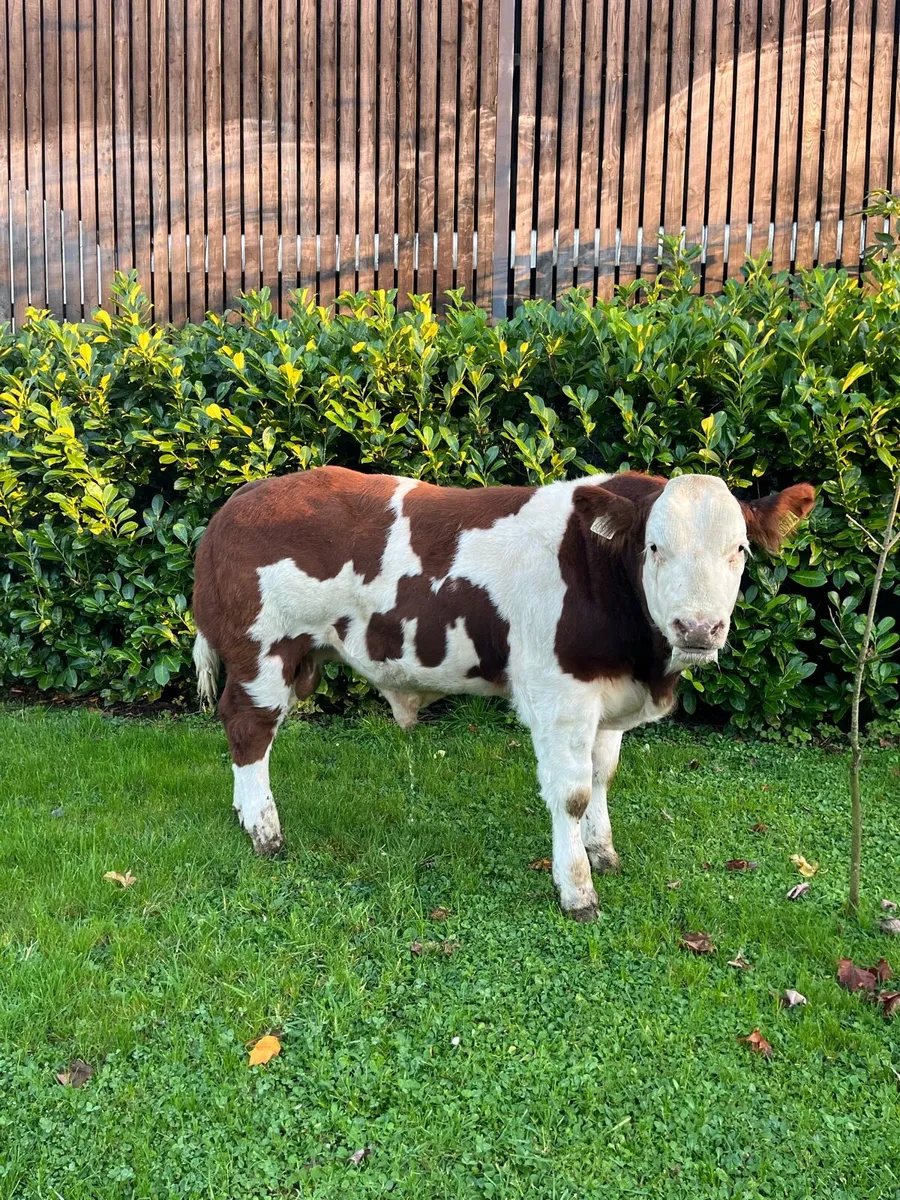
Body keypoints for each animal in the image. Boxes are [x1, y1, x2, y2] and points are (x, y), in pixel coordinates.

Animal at [191, 466, 815, 920]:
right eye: (654, 547)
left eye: (740, 549)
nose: (697, 628)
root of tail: (242, 497)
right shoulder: (559, 697)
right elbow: (572, 794)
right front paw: (577, 891)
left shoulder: (606, 700)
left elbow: (602, 776)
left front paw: (602, 852)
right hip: (263, 653)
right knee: (248, 730)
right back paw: (265, 832)